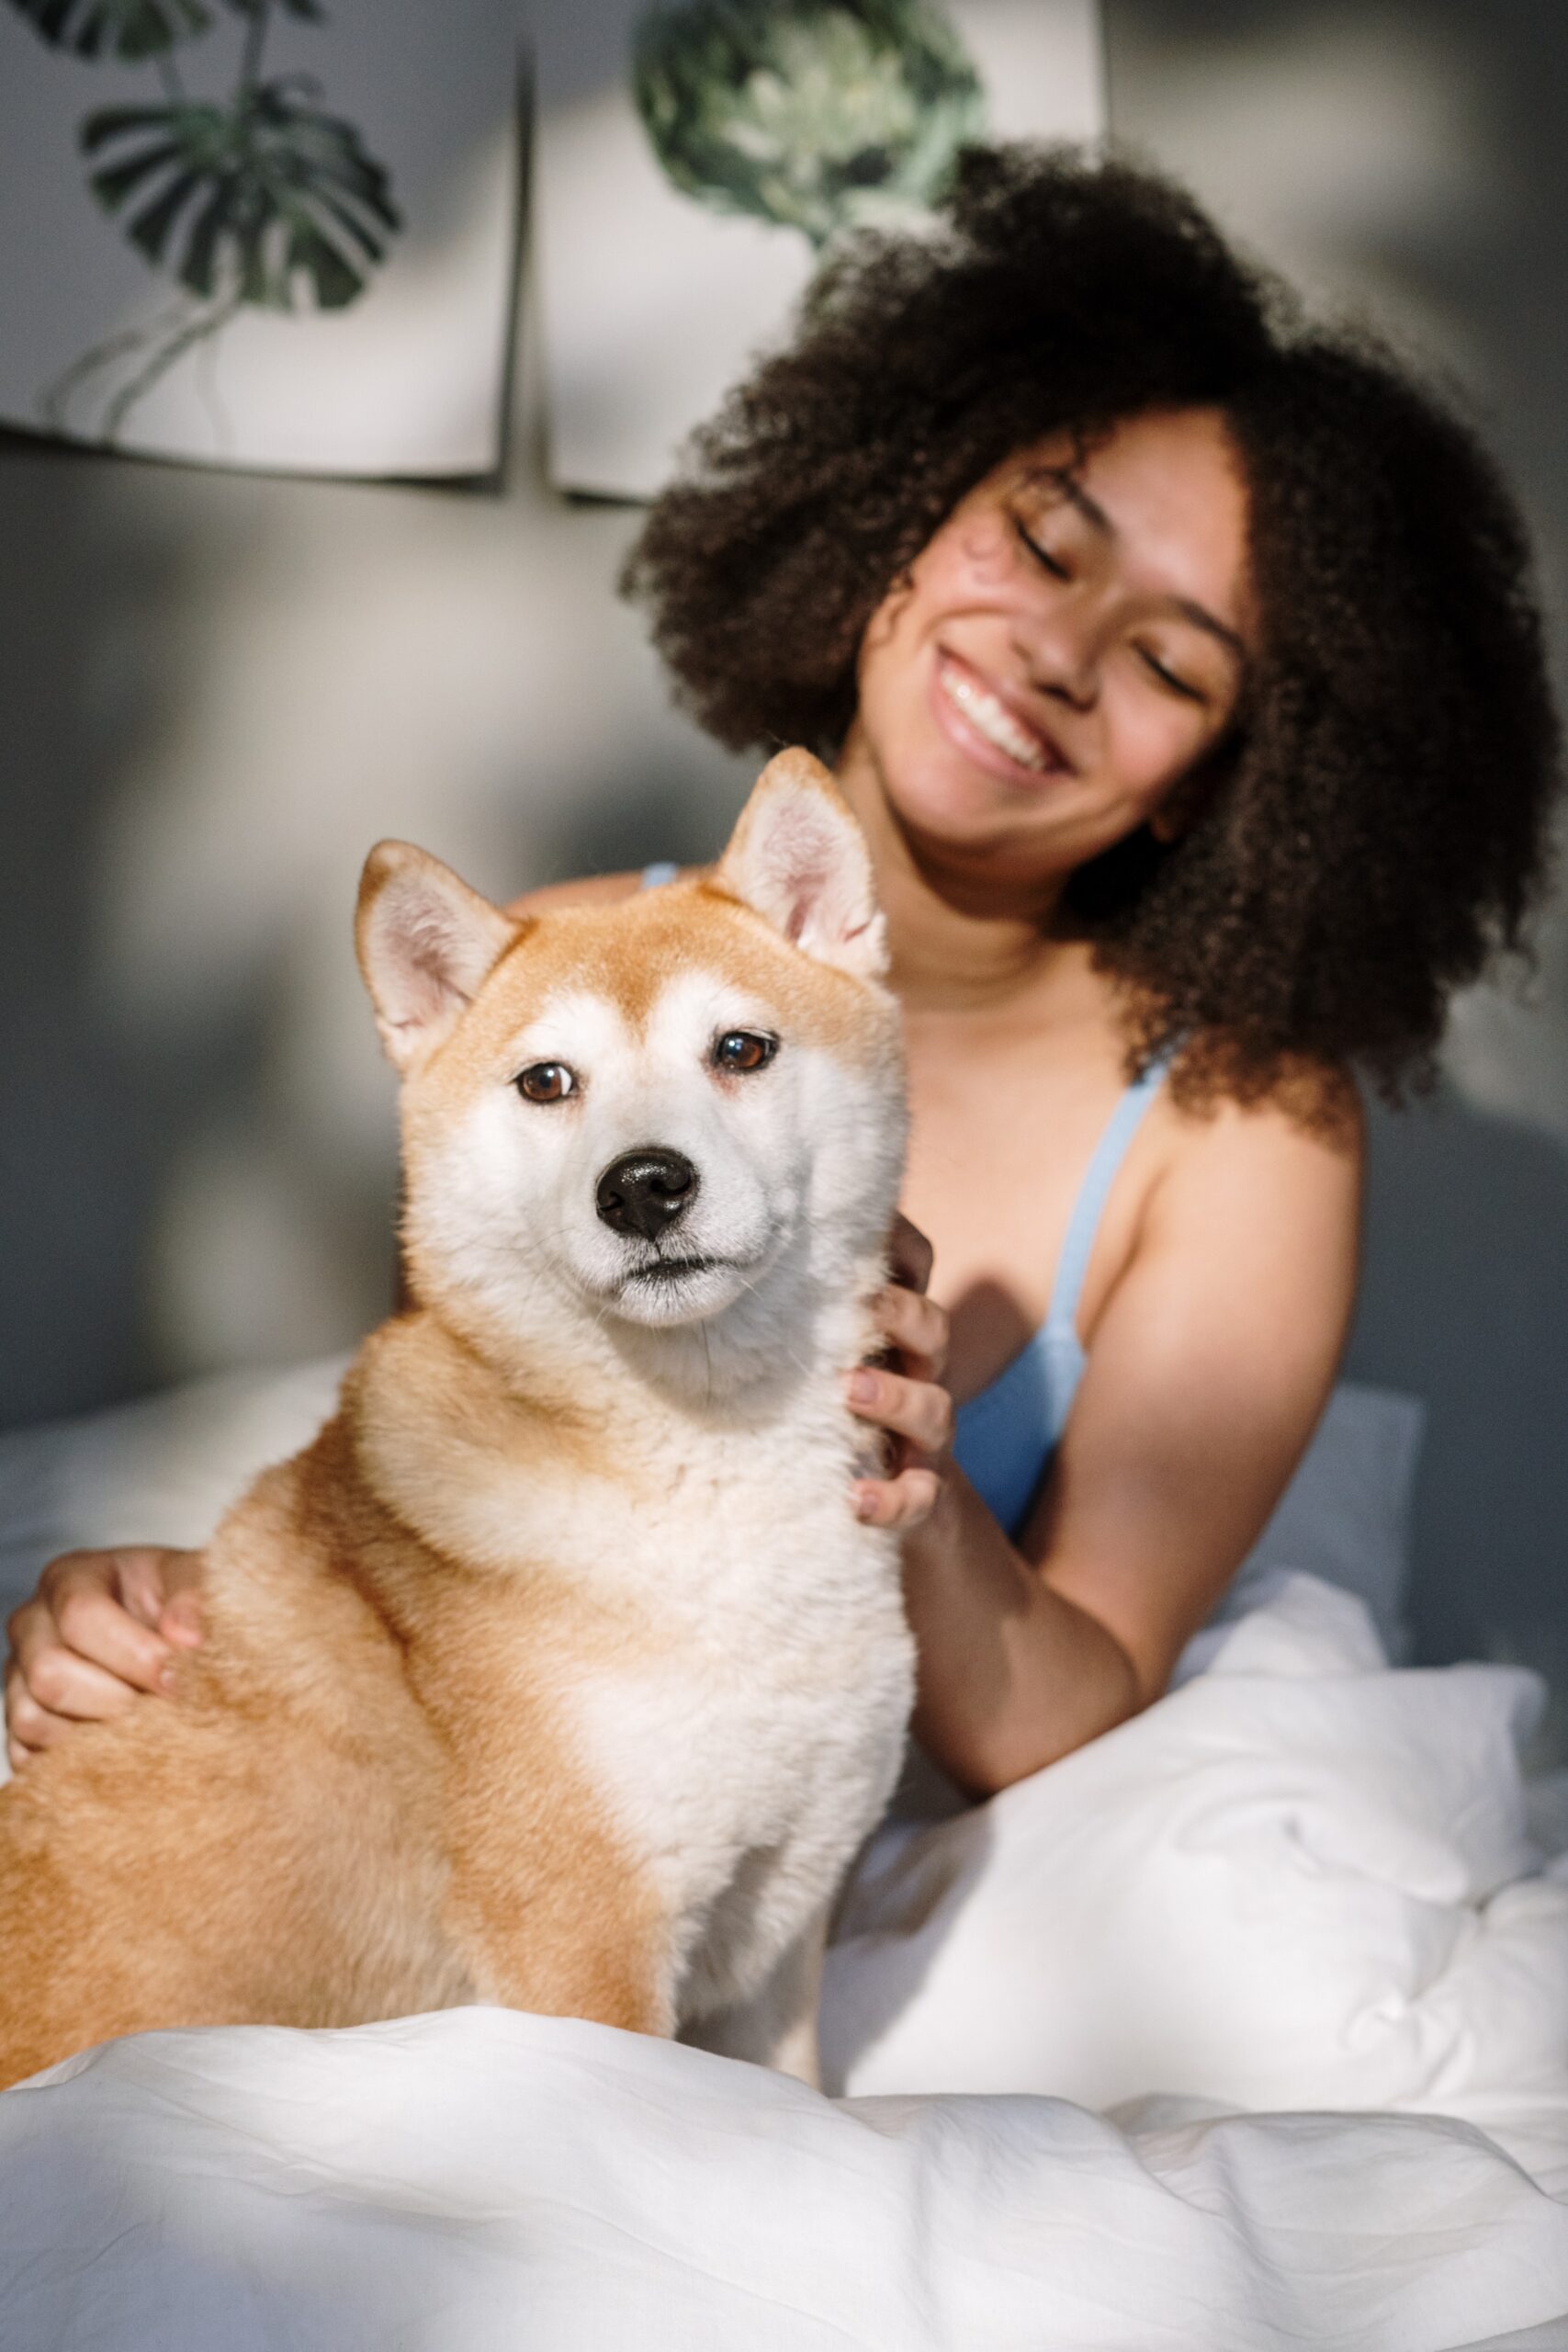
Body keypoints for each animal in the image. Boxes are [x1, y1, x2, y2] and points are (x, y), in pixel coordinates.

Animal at [0, 752, 921, 2098]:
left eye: (741, 1048)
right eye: (547, 1081)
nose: (645, 1186)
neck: (706, 1474)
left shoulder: (777, 1934)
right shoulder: (586, 1953)